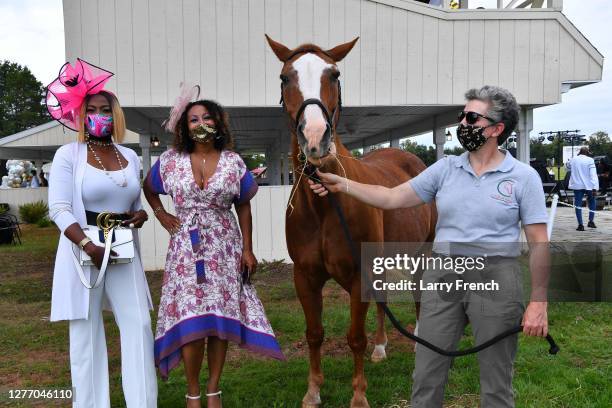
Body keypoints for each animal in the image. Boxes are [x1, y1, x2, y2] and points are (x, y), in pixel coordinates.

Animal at [266, 35, 436, 408]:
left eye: (335, 74)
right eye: (285, 77)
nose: (316, 138)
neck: (324, 205)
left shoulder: (359, 274)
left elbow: (355, 336)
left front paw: (358, 395)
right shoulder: (305, 277)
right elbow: (314, 334)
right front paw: (313, 390)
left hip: (422, 252)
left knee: (419, 293)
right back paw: (382, 346)